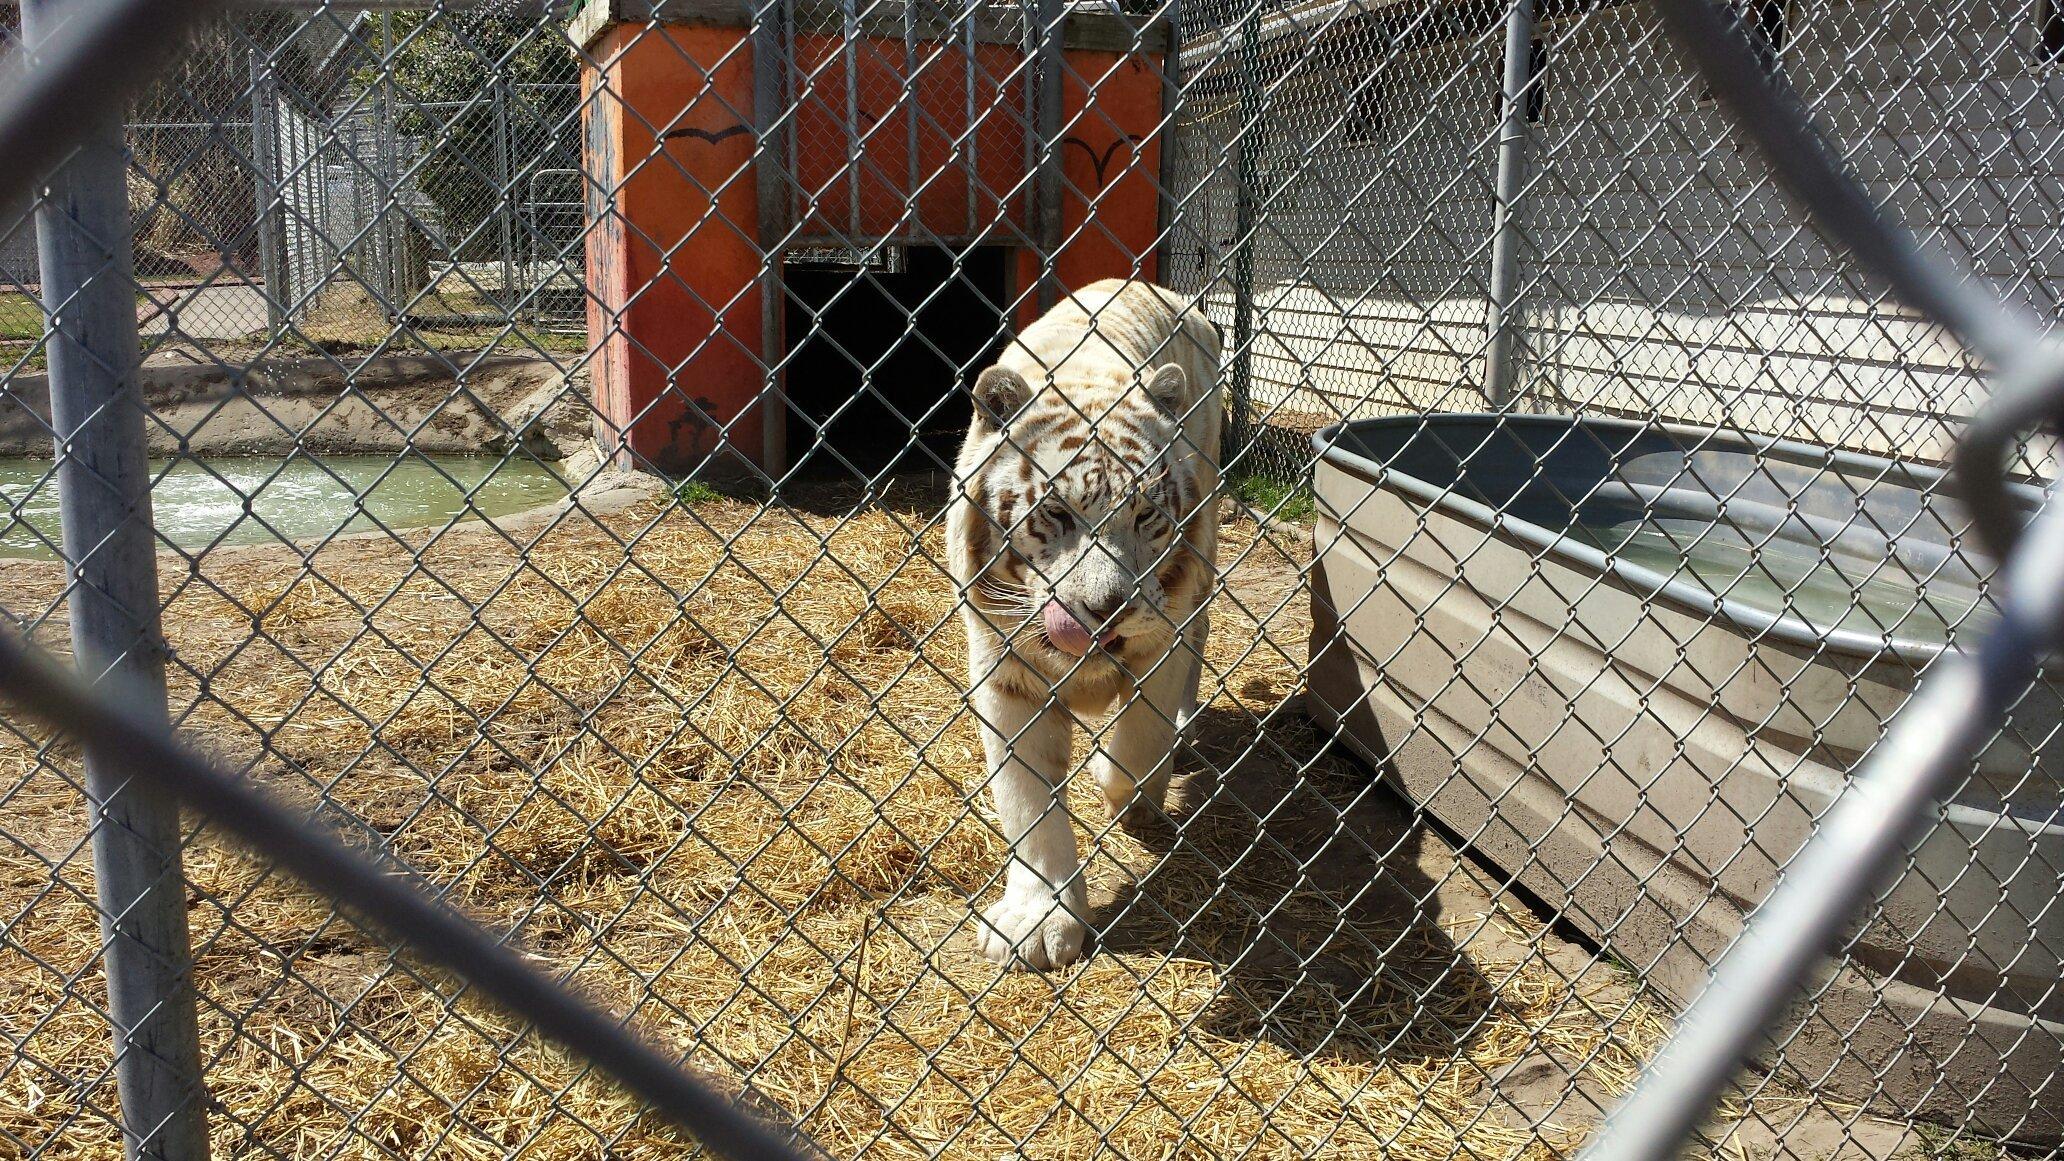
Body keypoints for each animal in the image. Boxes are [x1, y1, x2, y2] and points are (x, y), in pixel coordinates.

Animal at [949, 280, 1221, 966]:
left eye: (1146, 513)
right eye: (1056, 513)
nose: (1107, 606)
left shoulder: (1162, 643)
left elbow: (1137, 749)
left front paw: (1123, 782)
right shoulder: (1005, 672)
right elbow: (1028, 805)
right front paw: (1038, 923)